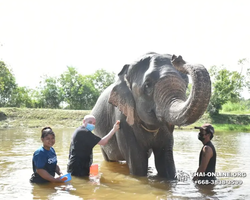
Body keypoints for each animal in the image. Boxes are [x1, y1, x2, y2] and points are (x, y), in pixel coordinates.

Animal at [90, 52, 211, 180]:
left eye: (186, 83)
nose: (177, 58)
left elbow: (165, 159)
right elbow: (138, 162)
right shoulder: (122, 119)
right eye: (147, 85)